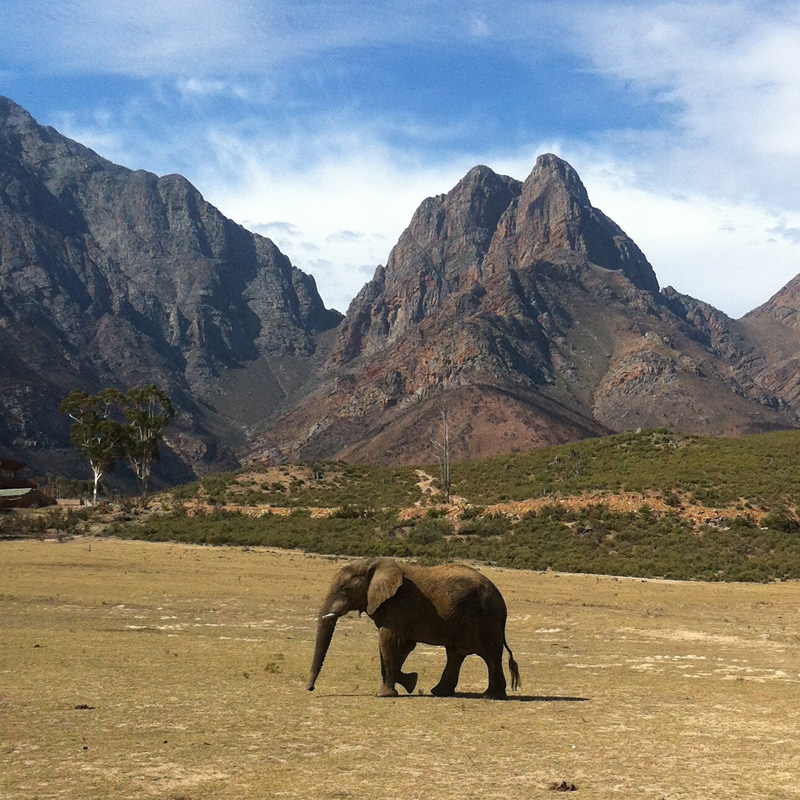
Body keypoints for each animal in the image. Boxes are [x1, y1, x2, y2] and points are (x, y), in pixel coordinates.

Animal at [304, 556, 520, 700]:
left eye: (344, 589)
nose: (310, 689)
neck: (372, 565)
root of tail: (501, 600)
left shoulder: (399, 606)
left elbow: (388, 641)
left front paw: (385, 694)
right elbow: (403, 646)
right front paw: (410, 682)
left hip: (486, 619)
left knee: (489, 655)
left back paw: (491, 696)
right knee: (456, 654)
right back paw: (440, 692)